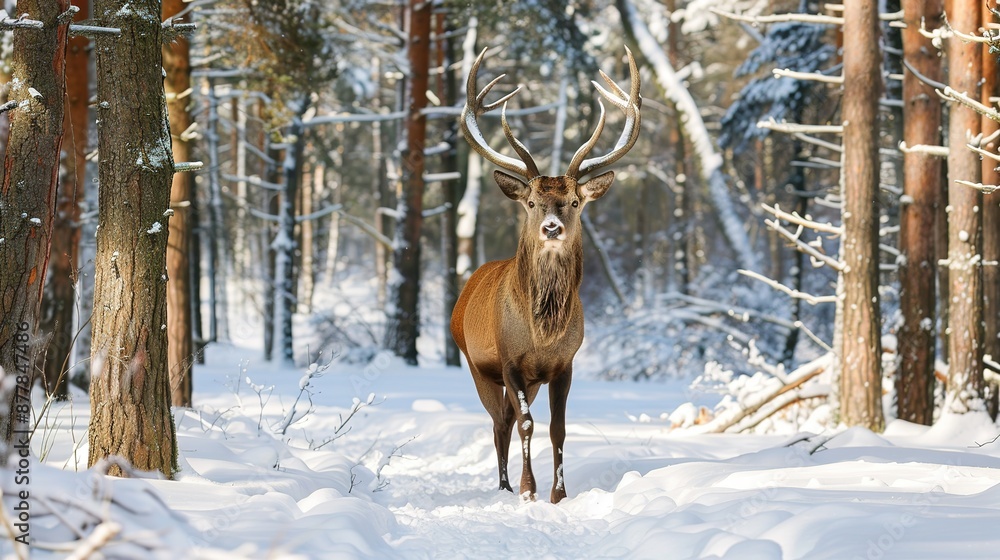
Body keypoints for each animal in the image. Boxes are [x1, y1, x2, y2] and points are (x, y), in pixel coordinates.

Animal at [450, 47, 640, 503]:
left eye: (573, 201)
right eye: (533, 202)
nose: (552, 228)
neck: (541, 335)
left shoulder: (563, 365)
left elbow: (558, 429)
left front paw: (559, 494)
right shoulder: (509, 361)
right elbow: (526, 424)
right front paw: (527, 490)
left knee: (505, 418)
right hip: (475, 362)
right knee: (500, 421)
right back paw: (502, 485)